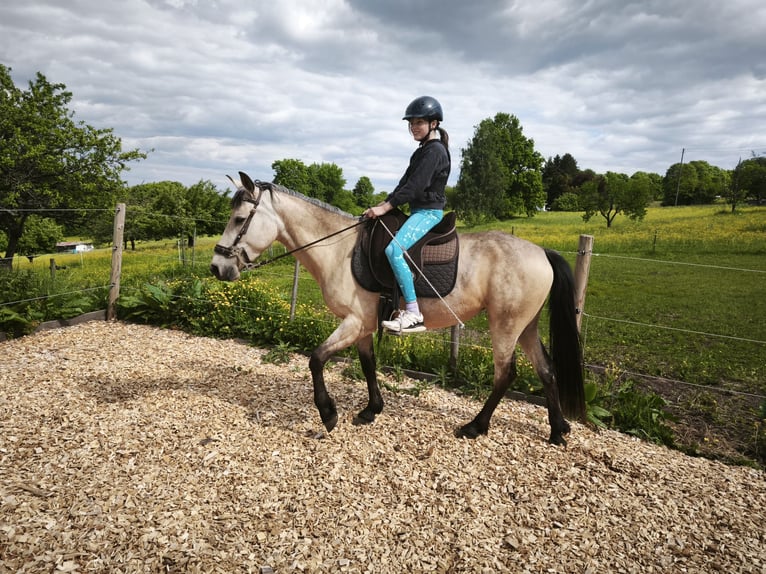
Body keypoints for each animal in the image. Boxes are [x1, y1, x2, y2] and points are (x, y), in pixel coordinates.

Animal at [210, 172, 585, 445]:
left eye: (240, 219)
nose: (216, 267)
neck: (340, 249)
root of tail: (541, 252)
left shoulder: (353, 321)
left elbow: (316, 359)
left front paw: (329, 413)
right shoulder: (362, 325)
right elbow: (367, 364)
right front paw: (370, 410)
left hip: (504, 326)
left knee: (505, 374)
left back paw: (476, 426)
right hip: (525, 326)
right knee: (546, 370)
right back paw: (557, 430)